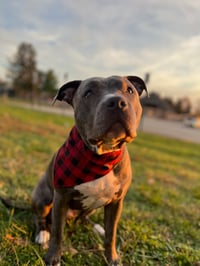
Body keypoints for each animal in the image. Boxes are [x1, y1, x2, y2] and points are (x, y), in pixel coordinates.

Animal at [31, 75, 147, 266]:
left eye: (129, 90)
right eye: (88, 93)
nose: (116, 102)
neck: (102, 156)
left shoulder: (116, 202)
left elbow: (111, 234)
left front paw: (112, 258)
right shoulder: (61, 198)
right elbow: (58, 233)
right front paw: (53, 258)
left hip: (95, 205)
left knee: (84, 218)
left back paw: (97, 227)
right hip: (43, 197)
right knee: (42, 219)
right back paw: (42, 234)